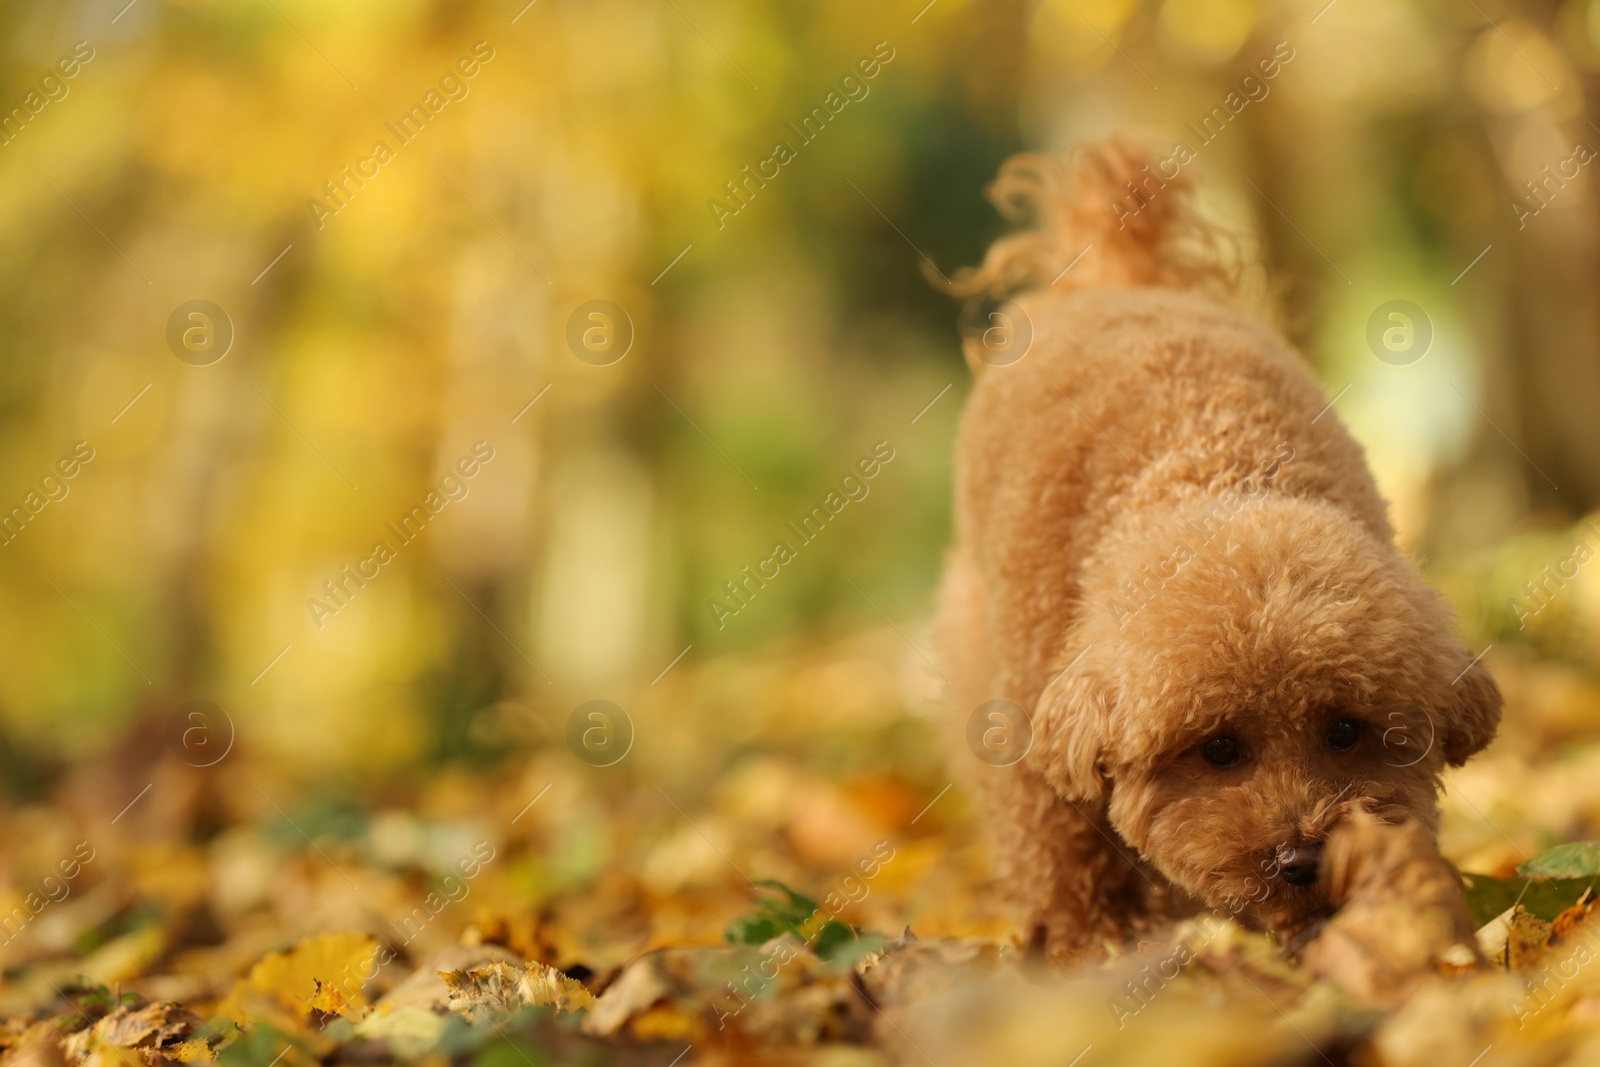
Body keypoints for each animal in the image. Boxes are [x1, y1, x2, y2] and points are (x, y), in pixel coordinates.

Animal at [934, 137, 1504, 953]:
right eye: (1219, 749)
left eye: (1345, 730)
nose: (1300, 857)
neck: (1213, 467)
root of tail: (1119, 274)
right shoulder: (1031, 706)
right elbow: (1056, 831)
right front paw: (1090, 937)